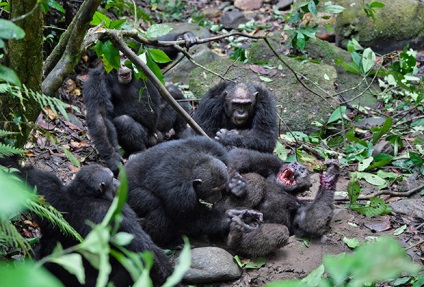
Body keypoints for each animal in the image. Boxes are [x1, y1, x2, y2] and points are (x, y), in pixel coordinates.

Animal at [0, 160, 176, 287]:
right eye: (111, 178)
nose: (117, 181)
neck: (85, 196)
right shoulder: (120, 215)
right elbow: (142, 247)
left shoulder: (48, 186)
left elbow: (23, 174)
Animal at [83, 31, 196, 176]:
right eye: (117, 58)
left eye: (125, 56)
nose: (123, 64)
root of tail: (157, 136)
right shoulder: (96, 82)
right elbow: (100, 115)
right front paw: (113, 159)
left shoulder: (140, 57)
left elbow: (155, 51)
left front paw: (184, 37)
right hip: (149, 139)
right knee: (123, 122)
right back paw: (137, 152)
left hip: (161, 125)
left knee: (175, 96)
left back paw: (184, 132)